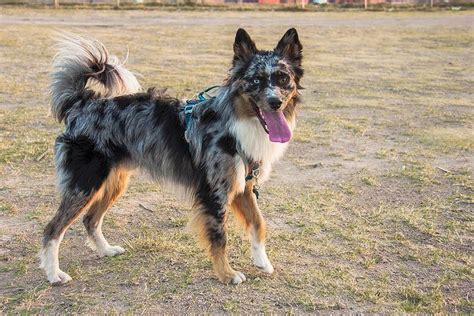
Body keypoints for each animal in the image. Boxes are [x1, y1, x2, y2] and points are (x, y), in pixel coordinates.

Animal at [40, 28, 304, 286]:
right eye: (256, 80)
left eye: (283, 78)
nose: (275, 102)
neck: (235, 122)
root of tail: (82, 104)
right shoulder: (215, 193)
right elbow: (220, 237)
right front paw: (227, 274)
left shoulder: (243, 187)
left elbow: (259, 223)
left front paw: (262, 262)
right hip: (84, 184)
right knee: (52, 229)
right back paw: (54, 274)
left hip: (113, 182)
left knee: (90, 219)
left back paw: (105, 250)